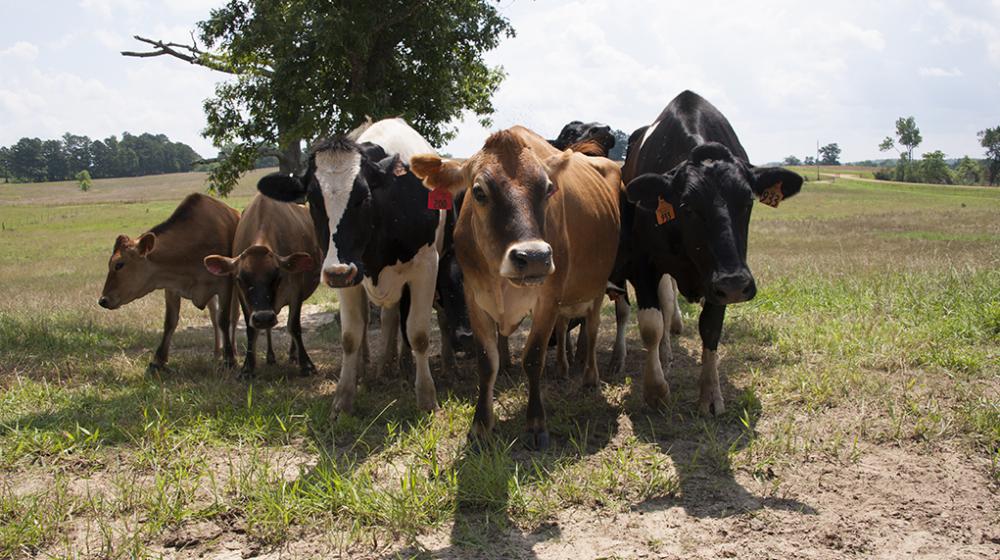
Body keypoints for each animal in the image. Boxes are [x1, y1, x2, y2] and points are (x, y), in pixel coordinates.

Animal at [98, 192, 241, 372]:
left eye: (119, 265)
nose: (103, 300)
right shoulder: (172, 287)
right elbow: (170, 321)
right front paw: (158, 360)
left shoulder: (225, 286)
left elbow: (225, 319)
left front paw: (230, 359)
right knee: (214, 316)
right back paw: (216, 353)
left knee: (233, 317)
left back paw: (233, 350)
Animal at [205, 194, 322, 376]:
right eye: (240, 279)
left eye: (278, 277)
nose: (263, 317)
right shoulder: (244, 298)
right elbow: (251, 329)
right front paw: (248, 367)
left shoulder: (296, 290)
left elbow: (294, 325)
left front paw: (307, 365)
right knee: (266, 328)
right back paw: (270, 356)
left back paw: (292, 354)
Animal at [410, 127, 620, 450]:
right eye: (479, 191)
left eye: (548, 189)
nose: (533, 257)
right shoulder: (474, 298)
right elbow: (487, 362)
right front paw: (481, 426)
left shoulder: (548, 297)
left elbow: (533, 358)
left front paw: (536, 424)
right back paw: (563, 369)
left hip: (595, 287)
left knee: (593, 329)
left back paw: (589, 377)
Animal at [620, 91, 800, 416]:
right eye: (687, 206)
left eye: (748, 201)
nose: (736, 284)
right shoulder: (643, 262)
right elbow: (652, 324)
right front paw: (655, 390)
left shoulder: (717, 277)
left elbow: (711, 329)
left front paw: (711, 393)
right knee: (666, 305)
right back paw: (664, 354)